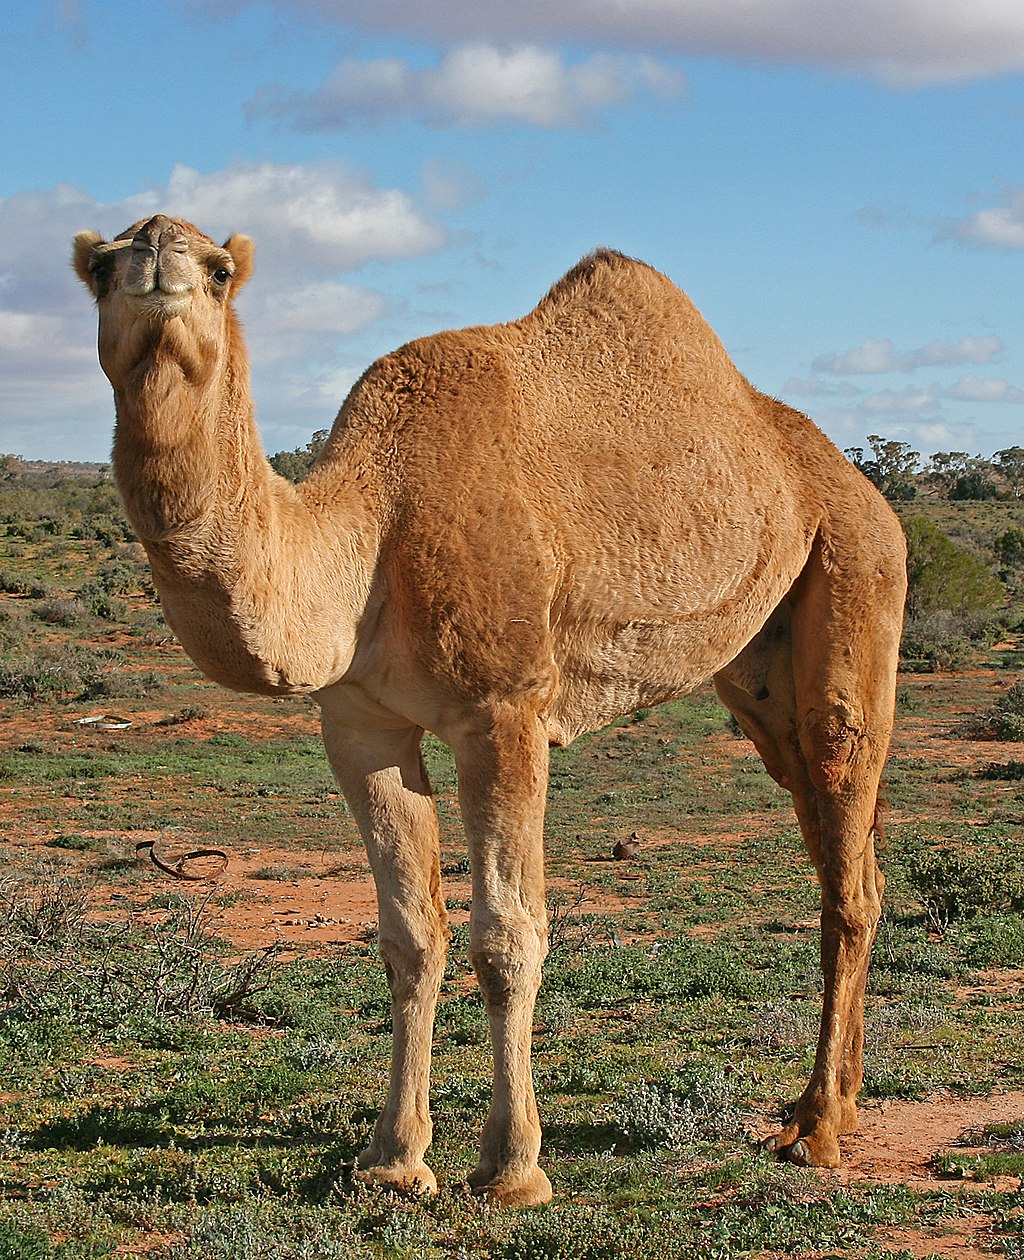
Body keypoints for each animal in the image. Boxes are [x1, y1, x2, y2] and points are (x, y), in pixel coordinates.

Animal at [73, 215, 907, 1207]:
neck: (370, 531)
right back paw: (835, 1104)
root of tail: (857, 484)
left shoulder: (504, 712)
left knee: (846, 839)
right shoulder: (359, 725)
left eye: (219, 270)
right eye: (100, 267)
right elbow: (410, 935)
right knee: (834, 843)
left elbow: (508, 936)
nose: (157, 254)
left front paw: (512, 1168)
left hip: (857, 572)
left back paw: (818, 1129)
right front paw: (393, 1161)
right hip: (759, 669)